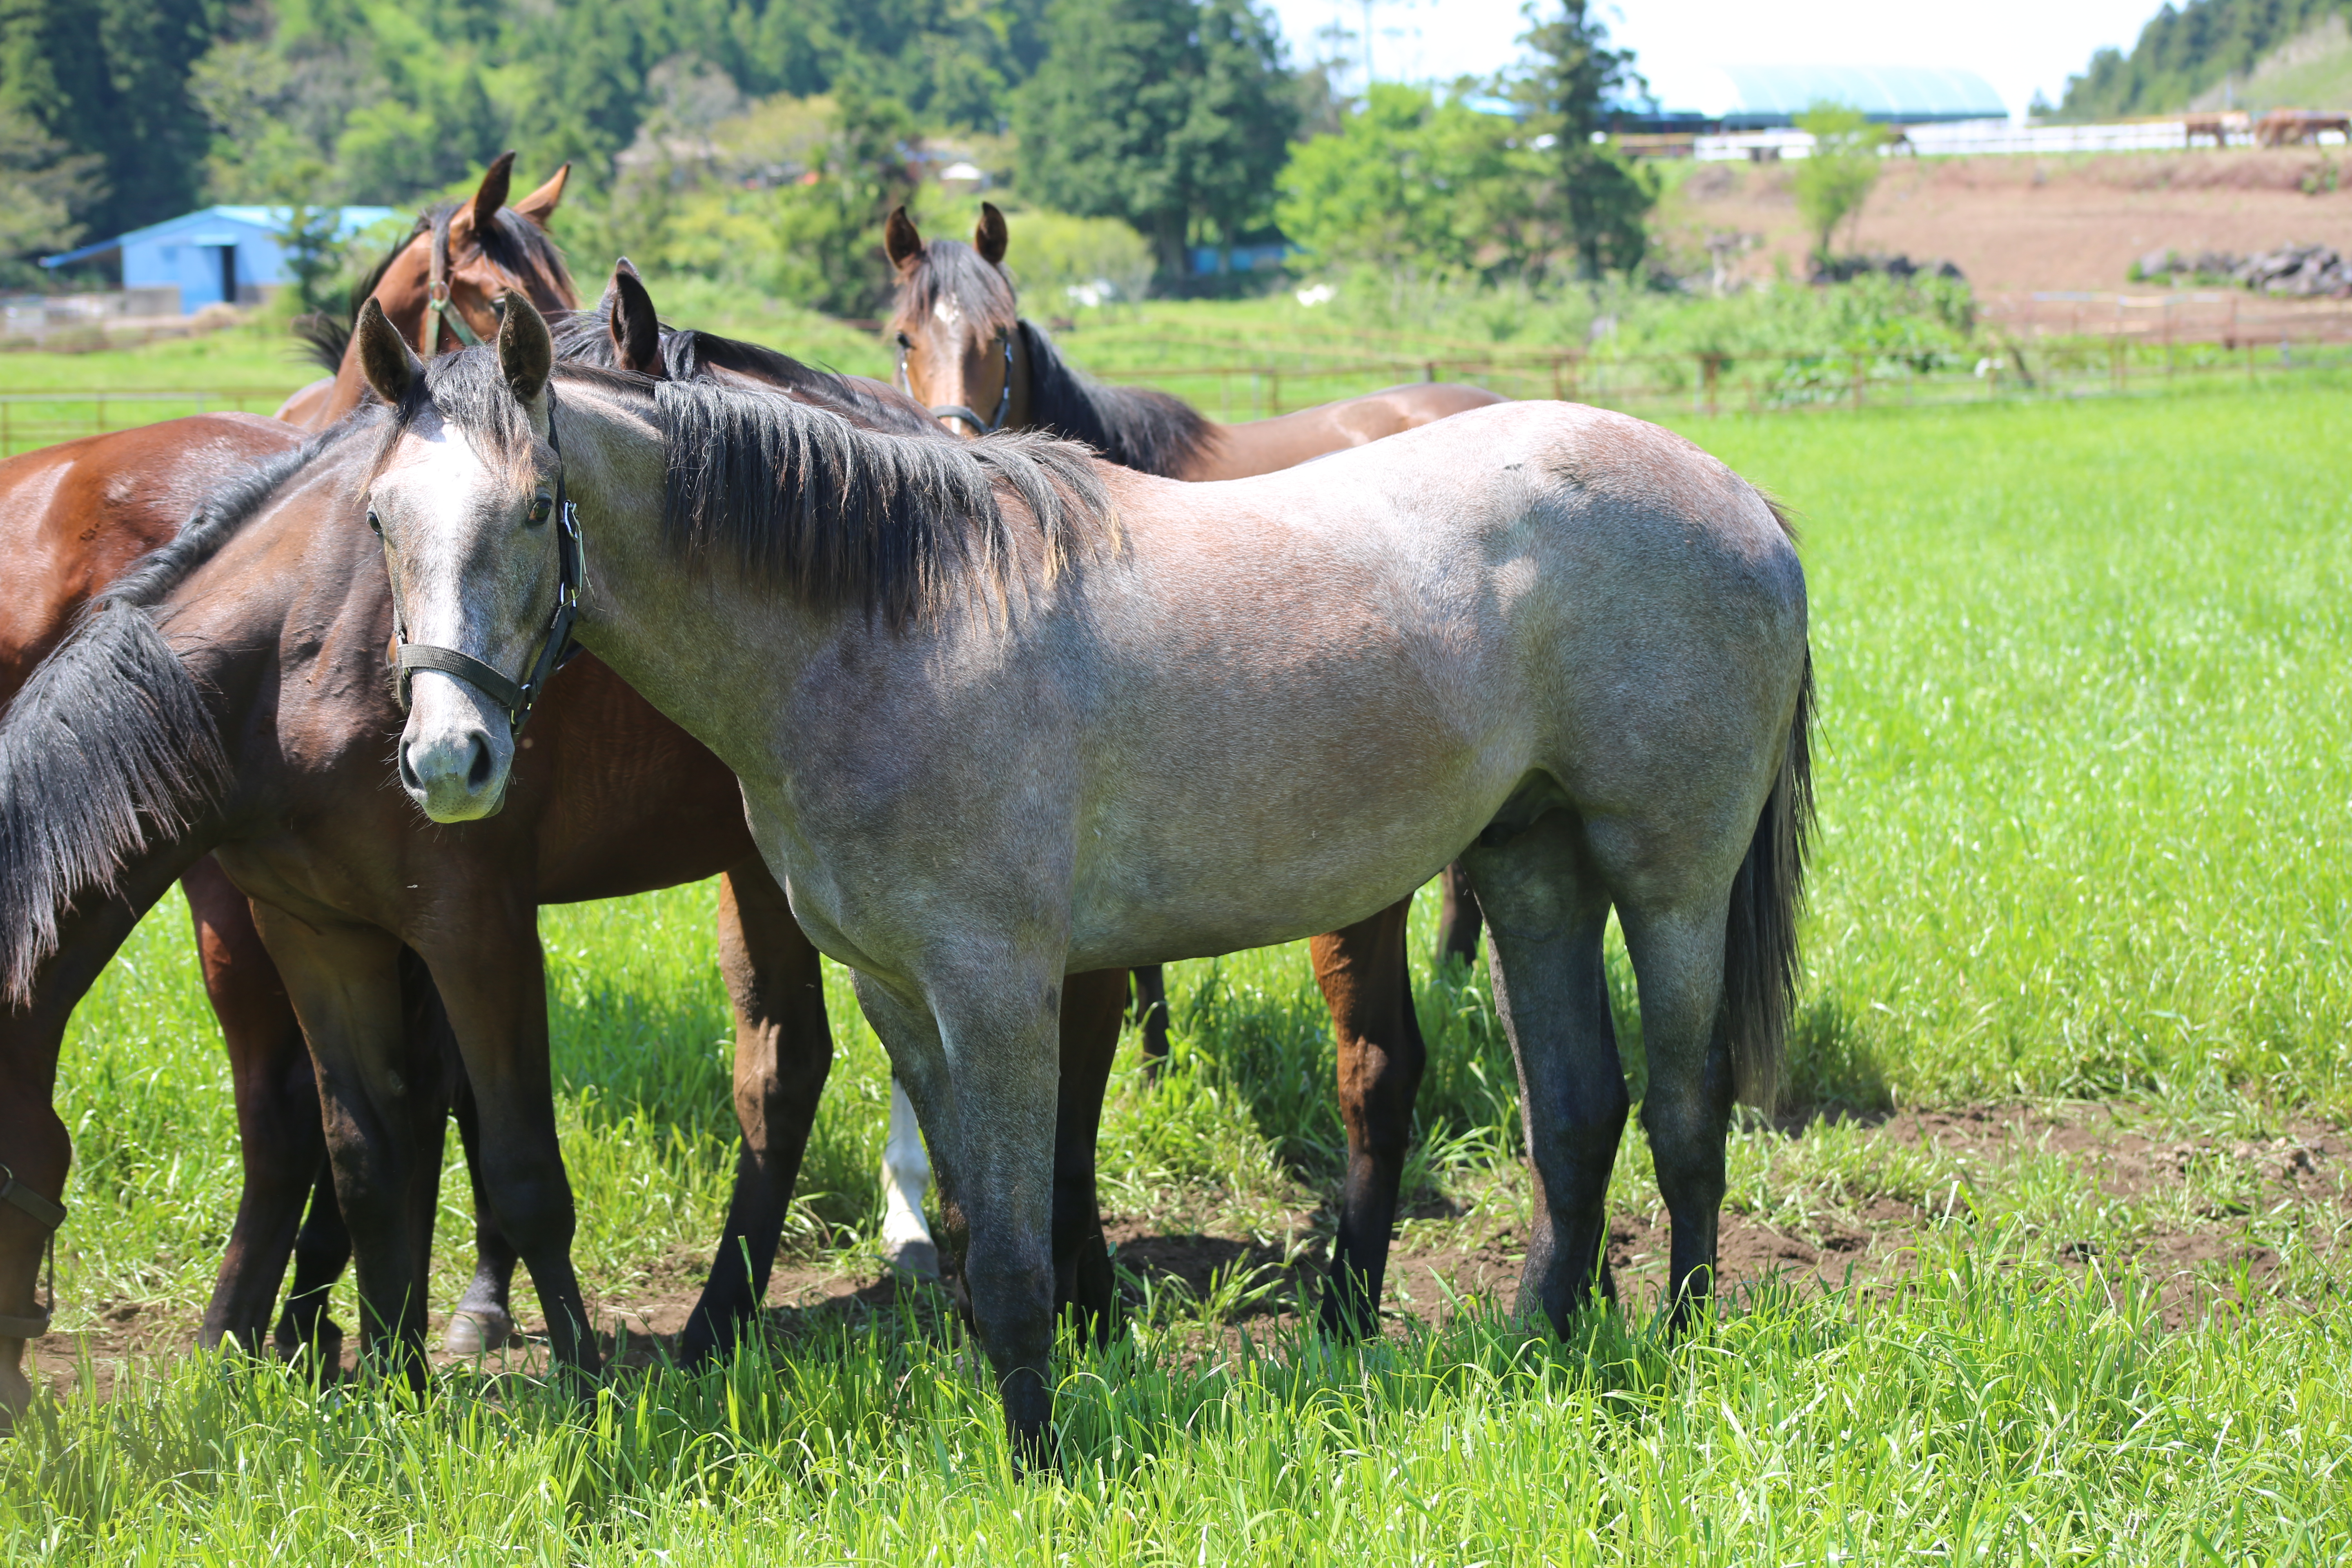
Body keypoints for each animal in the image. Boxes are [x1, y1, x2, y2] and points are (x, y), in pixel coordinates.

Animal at [353, 285, 1815, 1476]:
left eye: (533, 510)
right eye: (378, 519)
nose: (447, 759)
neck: (890, 621)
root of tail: (1740, 498)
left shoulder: (997, 990)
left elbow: (1011, 1253)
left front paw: (1039, 1459)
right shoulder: (899, 995)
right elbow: (961, 1224)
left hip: (1669, 877)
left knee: (1683, 1112)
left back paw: (1684, 1342)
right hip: (1533, 866)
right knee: (1576, 1113)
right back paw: (1537, 1347)